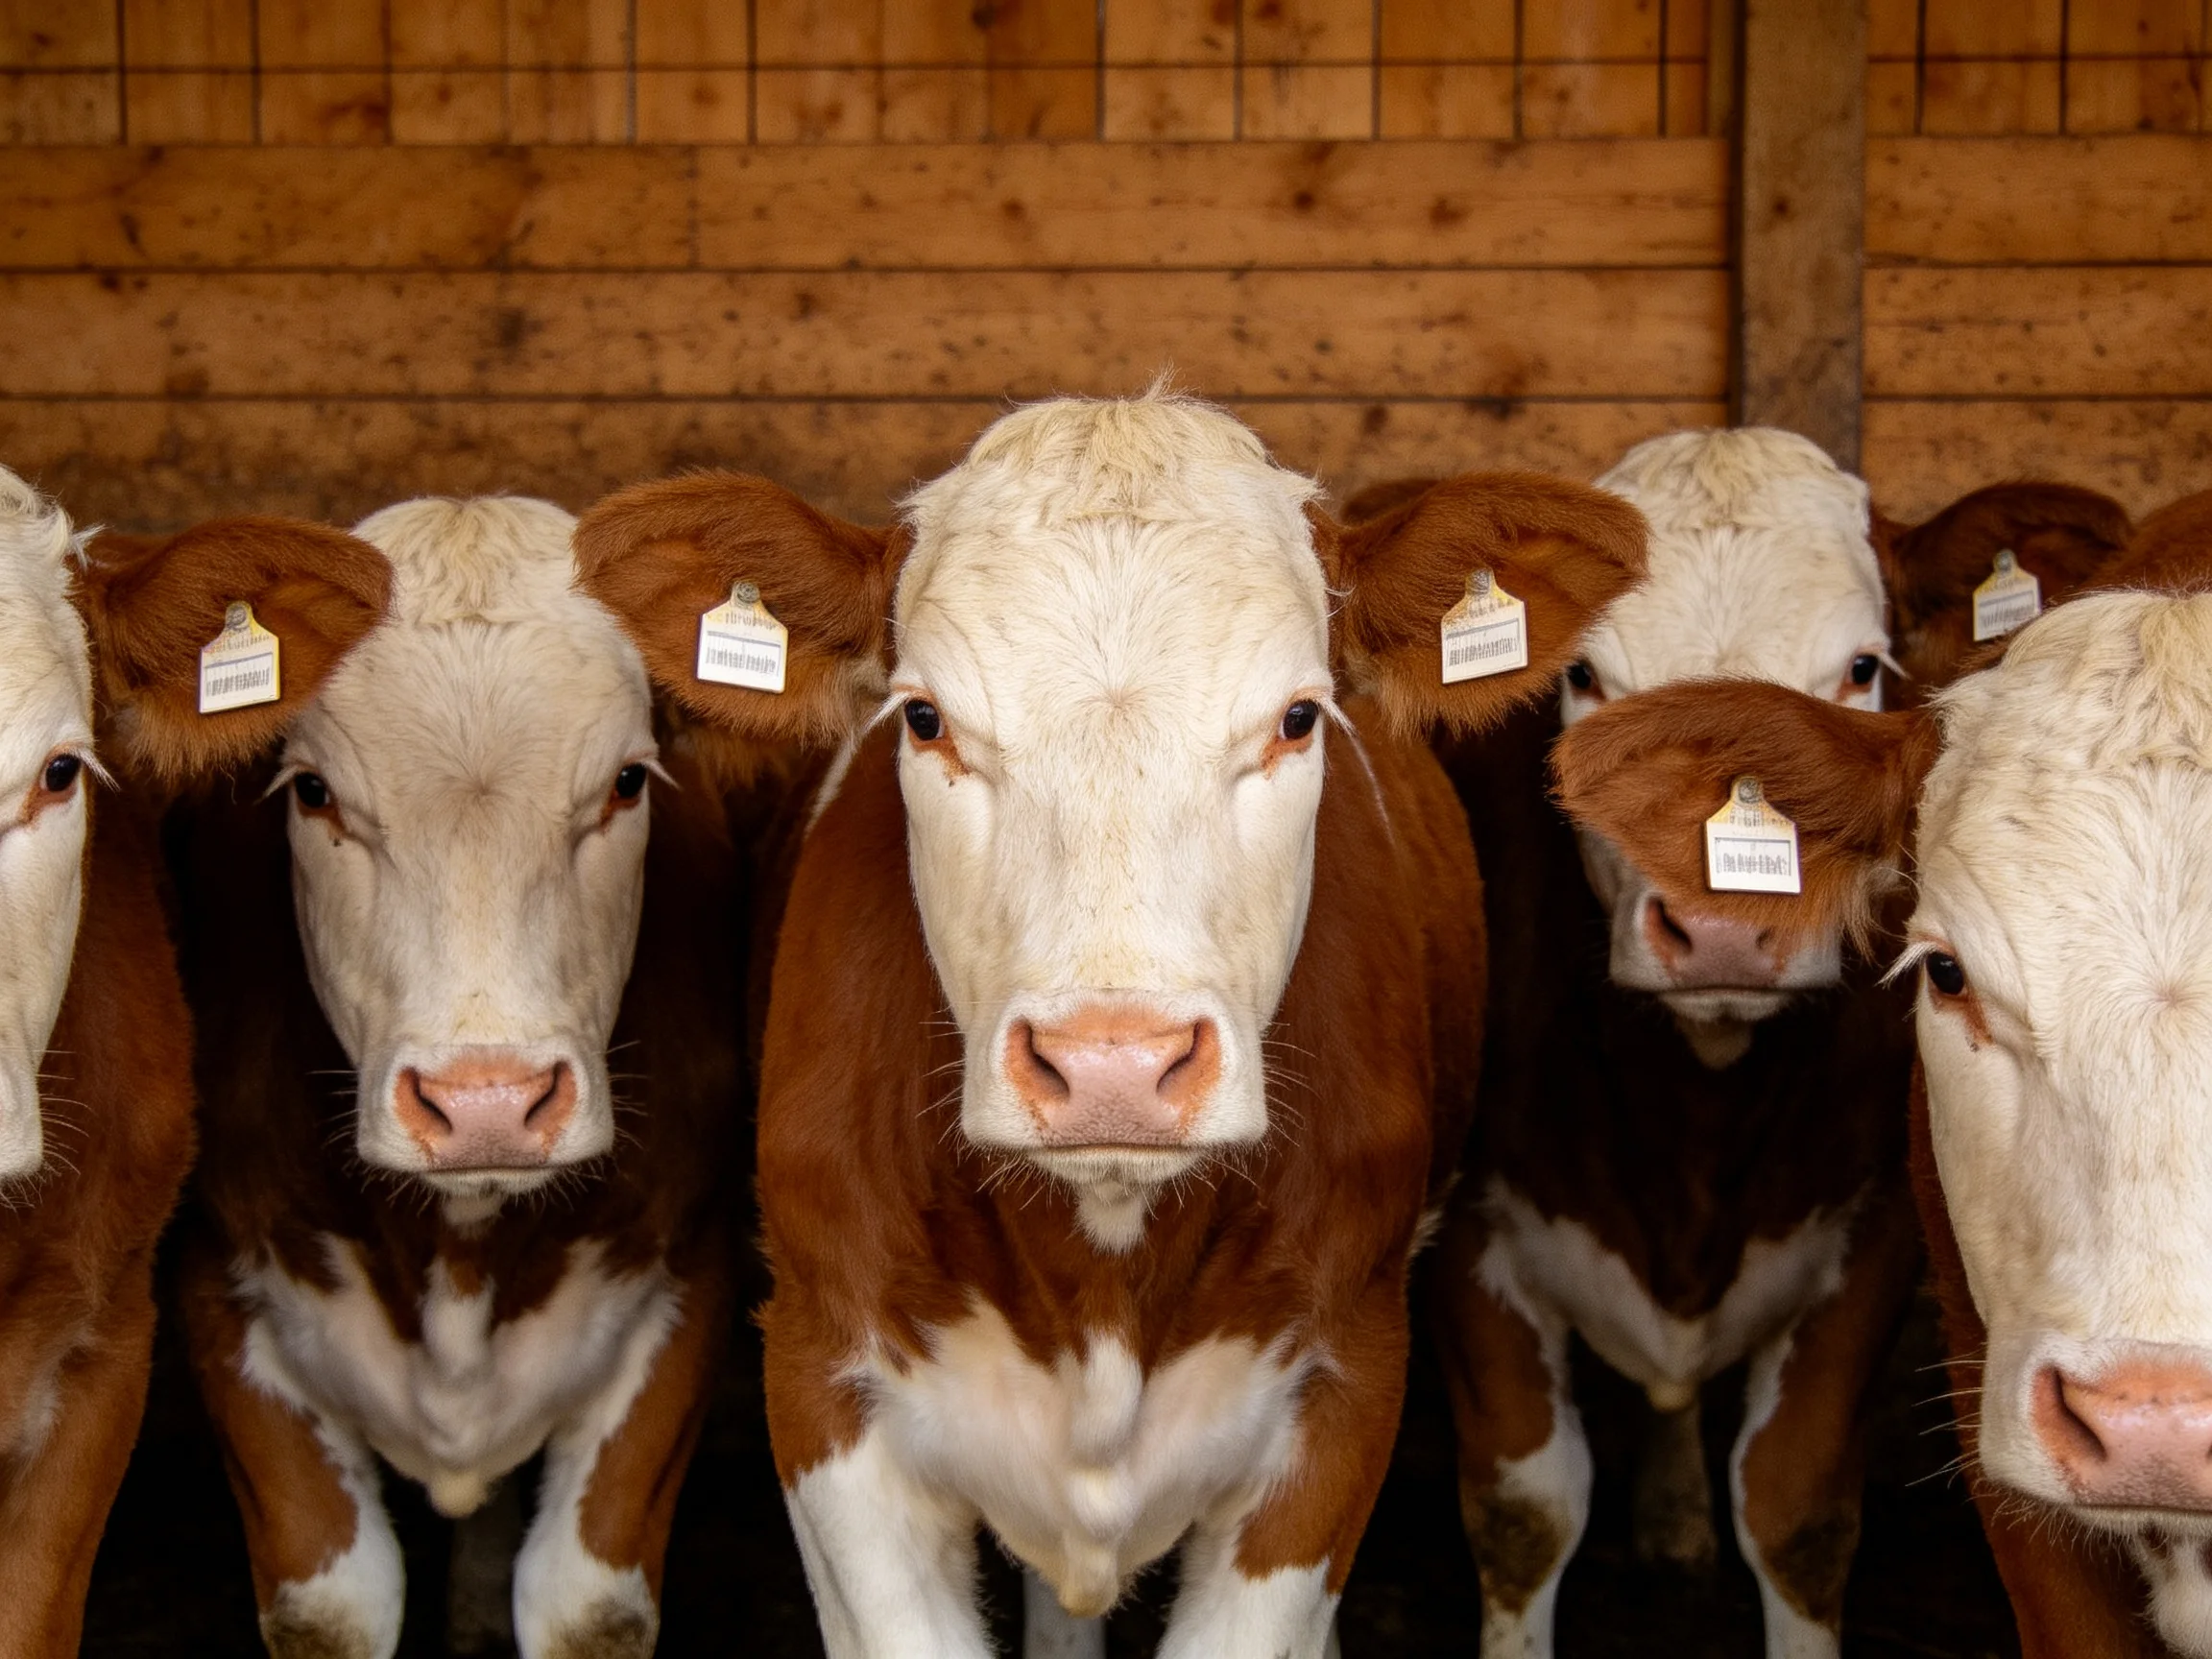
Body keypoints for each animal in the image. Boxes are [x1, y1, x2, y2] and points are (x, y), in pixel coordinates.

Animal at [167, 495, 747, 1659]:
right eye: (313, 793)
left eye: (626, 782)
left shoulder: (683, 1279)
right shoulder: (221, 1280)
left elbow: (589, 1610)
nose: (487, 1104)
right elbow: (328, 1610)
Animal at [572, 391, 1646, 1658]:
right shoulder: (820, 1372)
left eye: (1299, 718)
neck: (1102, 1245)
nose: (1114, 1065)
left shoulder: (1347, 1382)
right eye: (924, 719)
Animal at [1419, 426, 2130, 1659]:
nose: (1721, 928)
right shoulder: (1474, 1228)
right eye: (1582, 679)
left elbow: (1796, 1510)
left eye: (1861, 669)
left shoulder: (1878, 1224)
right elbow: (1524, 1514)